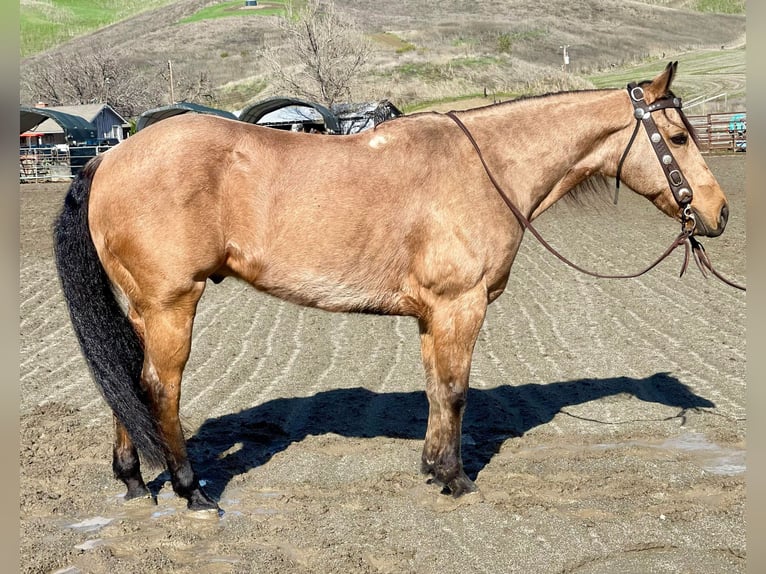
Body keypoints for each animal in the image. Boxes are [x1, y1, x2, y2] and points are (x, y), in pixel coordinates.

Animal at [54, 62, 732, 512]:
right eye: (677, 137)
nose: (720, 214)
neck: (484, 166)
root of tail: (107, 158)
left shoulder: (434, 315)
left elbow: (435, 390)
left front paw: (433, 468)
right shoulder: (461, 306)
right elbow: (455, 392)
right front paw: (456, 479)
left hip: (142, 310)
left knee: (127, 382)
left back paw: (133, 479)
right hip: (171, 306)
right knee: (158, 390)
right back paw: (191, 490)